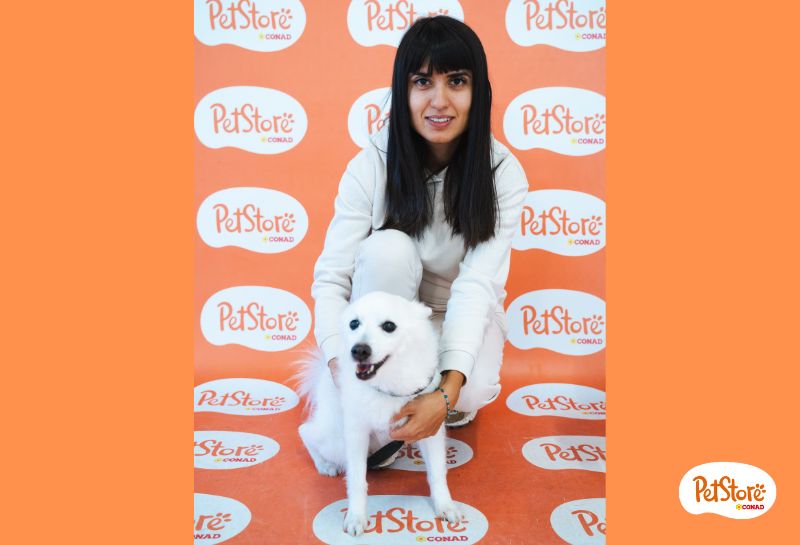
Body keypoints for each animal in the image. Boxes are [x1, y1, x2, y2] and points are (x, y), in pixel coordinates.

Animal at [295, 291, 463, 536]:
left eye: (389, 326)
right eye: (354, 323)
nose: (359, 350)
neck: (388, 384)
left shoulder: (430, 429)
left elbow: (438, 473)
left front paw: (445, 505)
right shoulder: (356, 433)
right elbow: (356, 481)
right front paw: (356, 517)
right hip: (336, 441)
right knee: (305, 431)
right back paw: (324, 465)